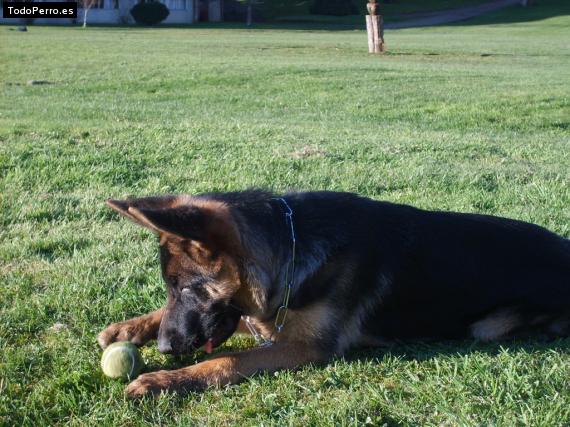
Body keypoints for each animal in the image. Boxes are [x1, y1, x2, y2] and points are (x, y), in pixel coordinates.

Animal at [97, 191, 568, 398]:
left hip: (488, 326)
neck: (289, 251)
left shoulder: (308, 346)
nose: (164, 348)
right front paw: (128, 327)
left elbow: (225, 360)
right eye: (170, 289)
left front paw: (163, 379)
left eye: (189, 288)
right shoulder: (267, 319)